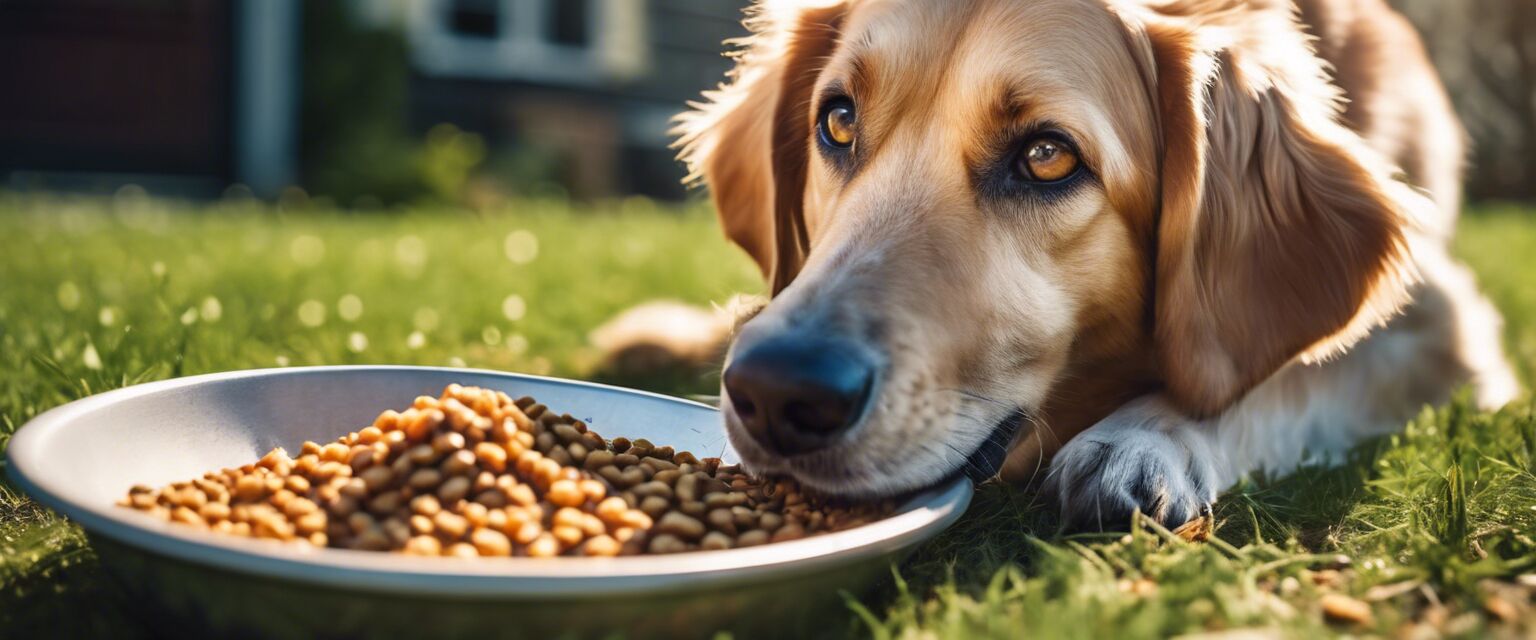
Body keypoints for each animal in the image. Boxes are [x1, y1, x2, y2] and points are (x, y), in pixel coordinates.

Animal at [592, 0, 1517, 524]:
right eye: (840, 120)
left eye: (1046, 157)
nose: (778, 391)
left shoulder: (1444, 328)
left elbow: (1275, 370)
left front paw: (1145, 437)